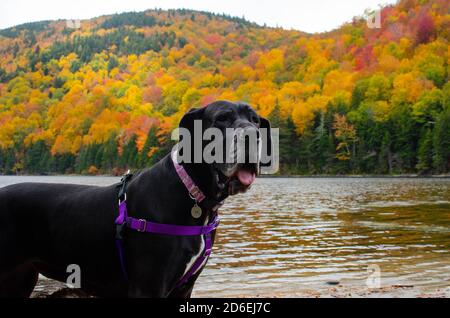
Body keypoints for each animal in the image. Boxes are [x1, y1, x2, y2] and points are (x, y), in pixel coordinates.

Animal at [0, 102, 270, 298]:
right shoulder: (148, 287)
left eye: (255, 120)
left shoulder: (183, 289)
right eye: (222, 118)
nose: (253, 134)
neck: (192, 193)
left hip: (19, 279)